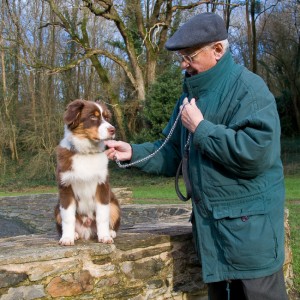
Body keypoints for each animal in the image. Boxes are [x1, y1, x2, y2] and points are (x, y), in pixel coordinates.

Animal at [54, 99, 120, 245]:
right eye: (93, 117)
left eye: (106, 117)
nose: (113, 129)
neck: (86, 153)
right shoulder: (65, 187)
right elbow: (68, 217)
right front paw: (67, 238)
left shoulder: (102, 186)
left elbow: (102, 215)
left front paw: (105, 236)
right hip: (56, 208)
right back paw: (75, 234)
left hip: (114, 204)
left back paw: (110, 232)